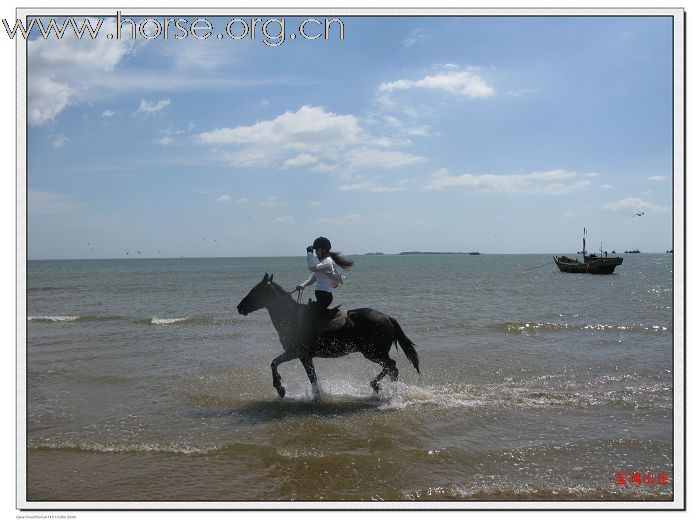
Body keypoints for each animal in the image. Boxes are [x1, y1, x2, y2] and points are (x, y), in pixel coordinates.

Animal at [238, 274, 418, 398]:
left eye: (255, 291)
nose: (239, 307)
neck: (291, 317)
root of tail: (388, 318)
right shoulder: (305, 356)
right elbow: (312, 378)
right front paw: (316, 395)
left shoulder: (296, 352)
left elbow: (274, 363)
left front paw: (280, 388)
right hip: (374, 353)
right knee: (391, 367)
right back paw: (379, 387)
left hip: (373, 352)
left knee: (392, 367)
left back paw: (388, 392)